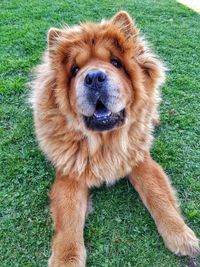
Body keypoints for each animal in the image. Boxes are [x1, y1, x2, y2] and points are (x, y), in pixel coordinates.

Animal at [30, 11, 199, 267]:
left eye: (116, 63)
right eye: (75, 70)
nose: (94, 77)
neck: (104, 141)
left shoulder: (140, 159)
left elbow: (159, 196)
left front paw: (182, 236)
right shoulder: (70, 174)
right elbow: (68, 220)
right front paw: (66, 260)